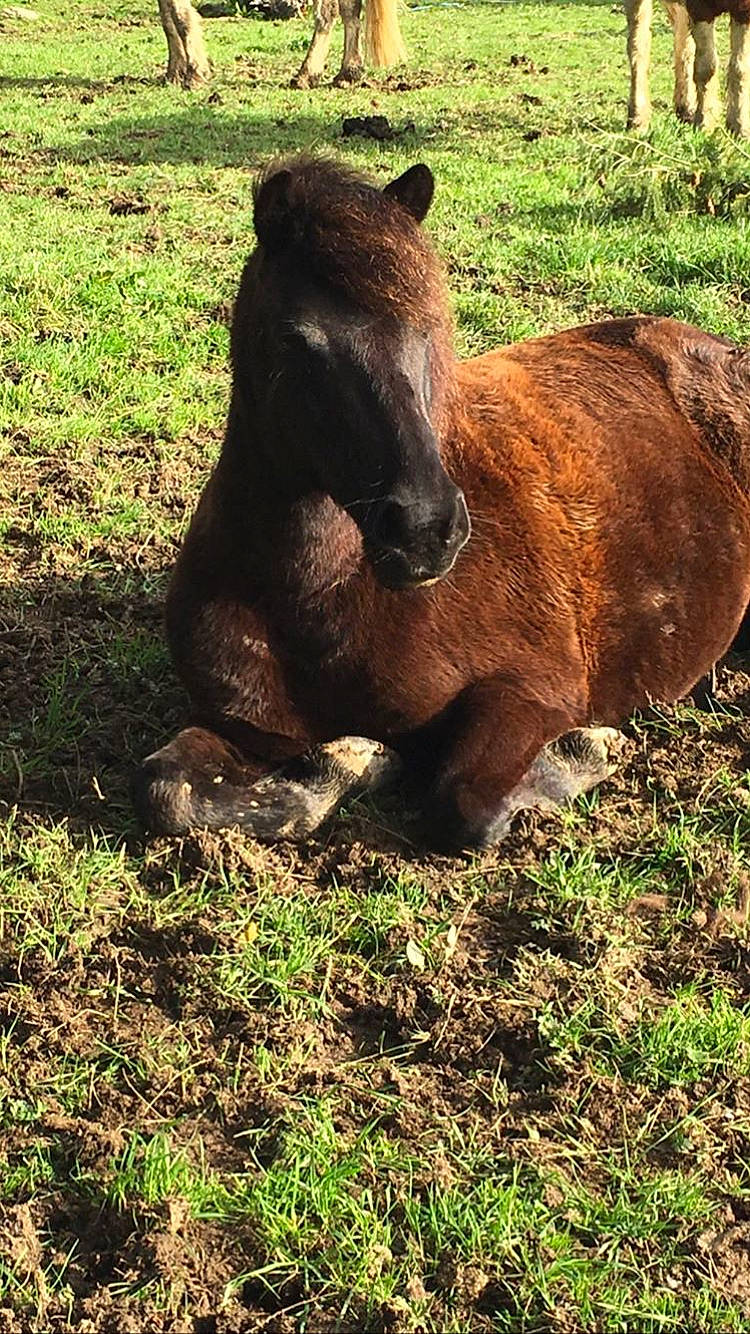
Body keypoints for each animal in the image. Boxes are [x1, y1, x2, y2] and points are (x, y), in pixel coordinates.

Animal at [133, 155, 750, 851]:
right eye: (297, 340)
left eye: (429, 326)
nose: (425, 529)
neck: (318, 596)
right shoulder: (245, 728)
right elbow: (166, 789)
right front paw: (346, 762)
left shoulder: (533, 690)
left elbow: (464, 801)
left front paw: (584, 750)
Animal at [626, 0, 750, 137]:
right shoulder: (699, 9)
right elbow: (706, 67)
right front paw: (703, 124)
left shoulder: (744, 10)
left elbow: (740, 68)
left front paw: (739, 128)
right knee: (638, 44)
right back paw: (637, 120)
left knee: (682, 38)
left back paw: (686, 110)